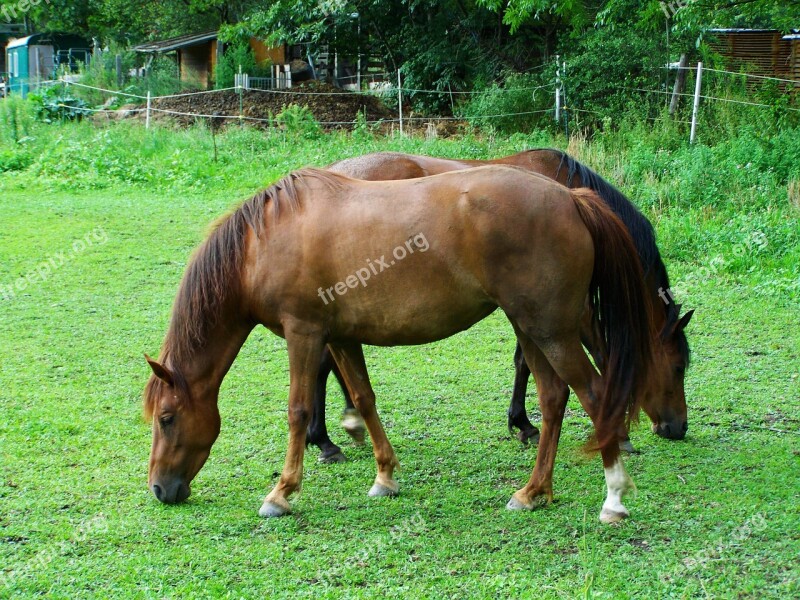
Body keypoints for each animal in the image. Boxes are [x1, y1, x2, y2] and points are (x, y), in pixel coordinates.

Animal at [144, 166, 656, 524]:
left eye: (167, 419)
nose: (160, 490)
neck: (264, 242)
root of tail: (571, 198)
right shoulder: (341, 337)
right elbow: (364, 398)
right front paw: (385, 476)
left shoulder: (304, 333)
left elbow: (298, 410)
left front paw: (282, 493)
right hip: (530, 328)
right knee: (553, 398)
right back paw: (533, 492)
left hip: (552, 330)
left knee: (595, 395)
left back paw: (613, 499)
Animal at [304, 149, 692, 460]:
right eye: (677, 367)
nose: (678, 428)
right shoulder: (566, 310)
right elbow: (594, 354)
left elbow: (524, 362)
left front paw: (522, 423)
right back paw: (325, 438)